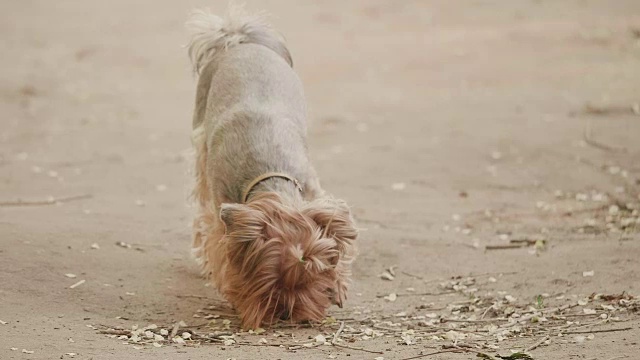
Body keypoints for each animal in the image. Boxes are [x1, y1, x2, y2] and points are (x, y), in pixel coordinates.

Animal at [185, 4, 358, 330]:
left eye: (312, 276)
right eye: (272, 281)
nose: (287, 314)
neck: (270, 177)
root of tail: (239, 40)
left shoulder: (313, 194)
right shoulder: (220, 210)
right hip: (200, 139)